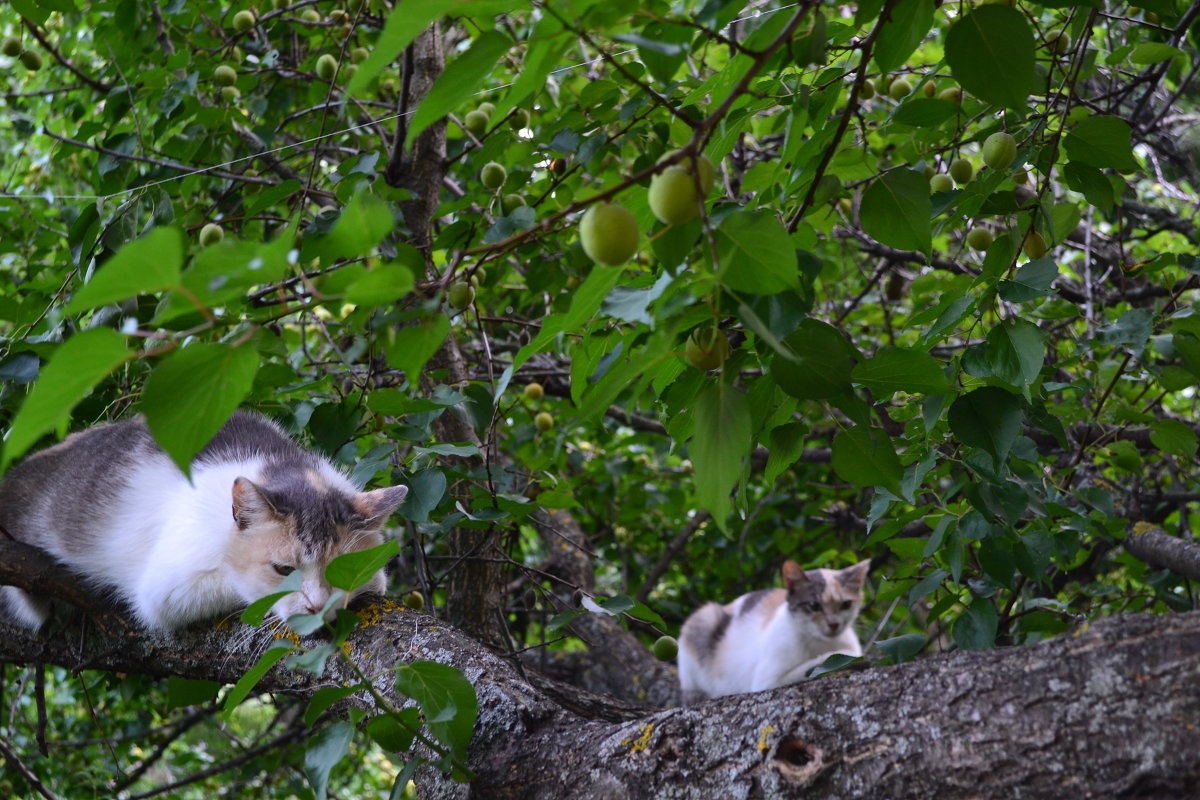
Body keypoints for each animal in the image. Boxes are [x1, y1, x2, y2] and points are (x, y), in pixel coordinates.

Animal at [0, 412, 408, 633]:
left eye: (340, 569)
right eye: (282, 569)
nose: (318, 607)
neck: (282, 466)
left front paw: (372, 580)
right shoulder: (163, 591)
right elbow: (239, 584)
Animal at [676, 561, 873, 705]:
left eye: (846, 604)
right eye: (814, 605)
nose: (833, 624)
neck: (819, 642)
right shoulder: (767, 681)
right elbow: (819, 664)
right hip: (704, 618)